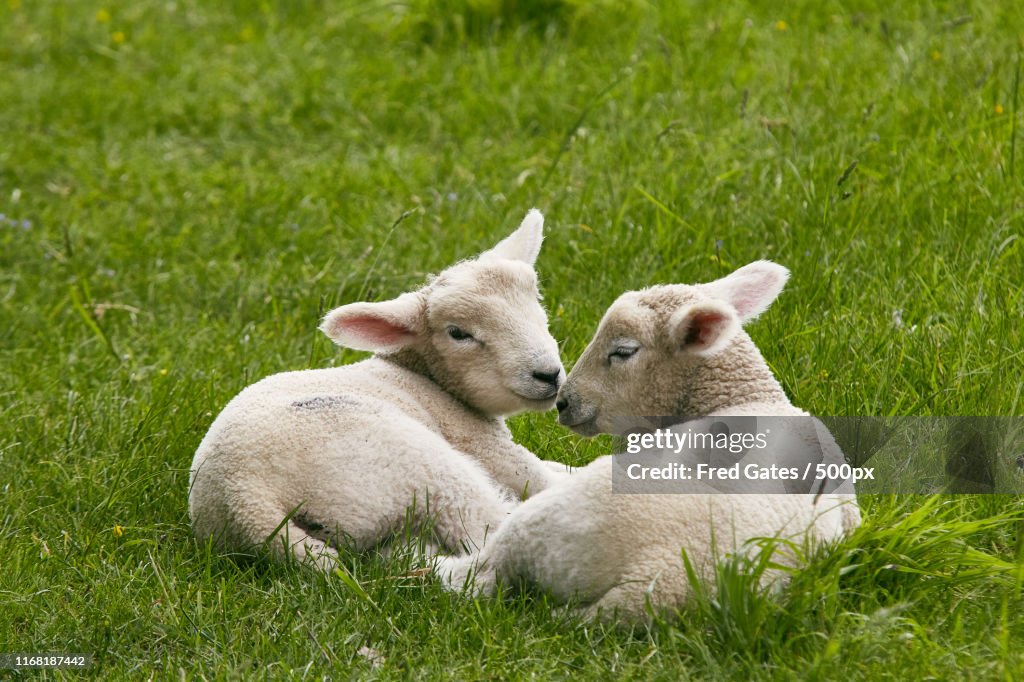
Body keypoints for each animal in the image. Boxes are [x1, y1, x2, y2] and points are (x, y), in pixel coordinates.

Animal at [189, 210, 569, 570]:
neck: (426, 378)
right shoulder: (484, 445)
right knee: (483, 528)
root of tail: (245, 502)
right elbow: (542, 475)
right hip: (416, 466)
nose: (548, 374)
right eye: (458, 333)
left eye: (537, 300)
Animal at [434, 261, 861, 623]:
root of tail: (651, 580)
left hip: (539, 525)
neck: (744, 395)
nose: (564, 403)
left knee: (471, 575)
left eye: (623, 351)